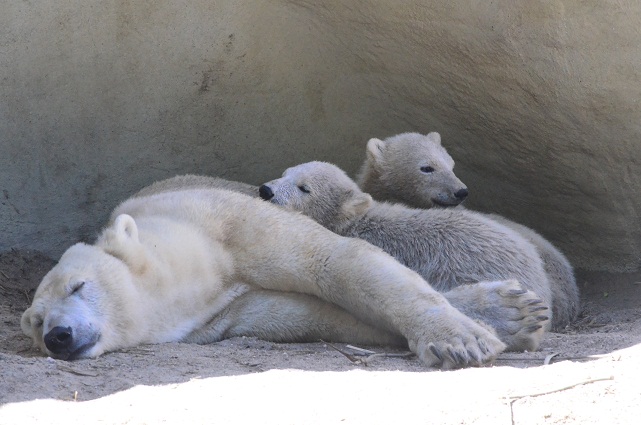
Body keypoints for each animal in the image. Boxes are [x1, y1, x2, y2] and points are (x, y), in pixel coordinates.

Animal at [22, 176, 508, 368]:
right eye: (37, 322)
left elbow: (334, 261)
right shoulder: (219, 315)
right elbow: (310, 315)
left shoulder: (229, 223)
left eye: (78, 286)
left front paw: (464, 339)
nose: (58, 336)